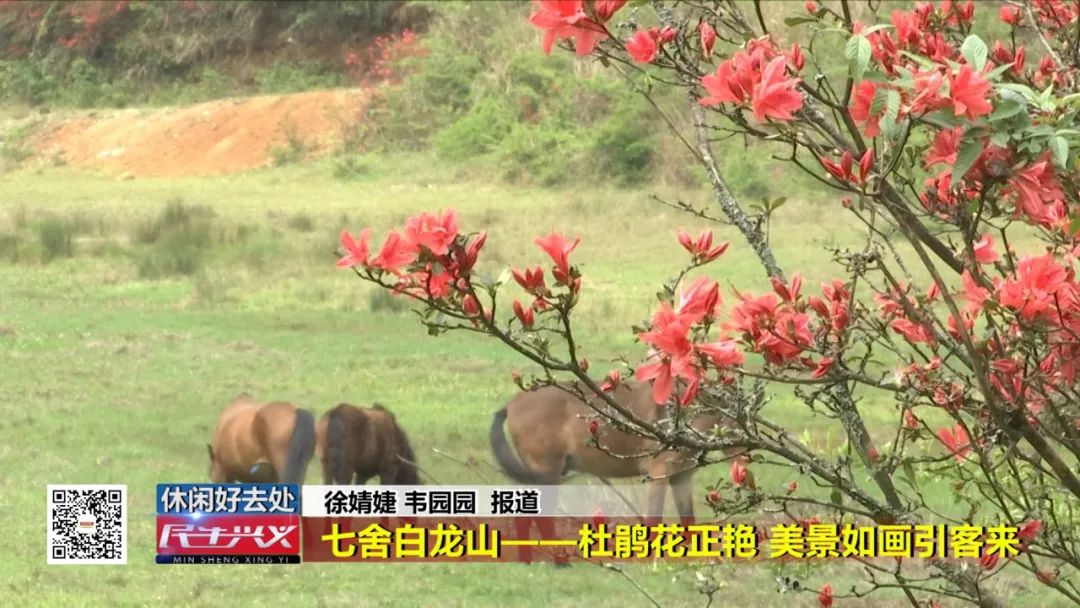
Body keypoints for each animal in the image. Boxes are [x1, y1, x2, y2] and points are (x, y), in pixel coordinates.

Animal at [490, 380, 725, 522]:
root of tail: (511, 404)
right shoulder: (658, 473)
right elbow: (654, 517)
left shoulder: (682, 476)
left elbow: (688, 518)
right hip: (547, 471)